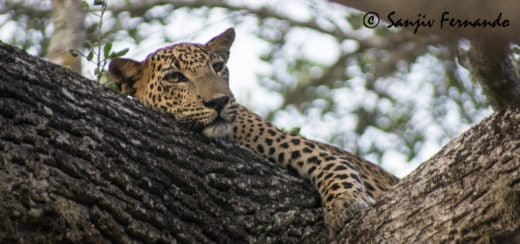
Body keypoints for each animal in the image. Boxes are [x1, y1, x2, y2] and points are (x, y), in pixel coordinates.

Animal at [108, 27, 398, 235]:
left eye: (217, 67)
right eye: (174, 78)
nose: (220, 101)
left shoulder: (294, 143)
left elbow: (335, 163)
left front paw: (345, 202)